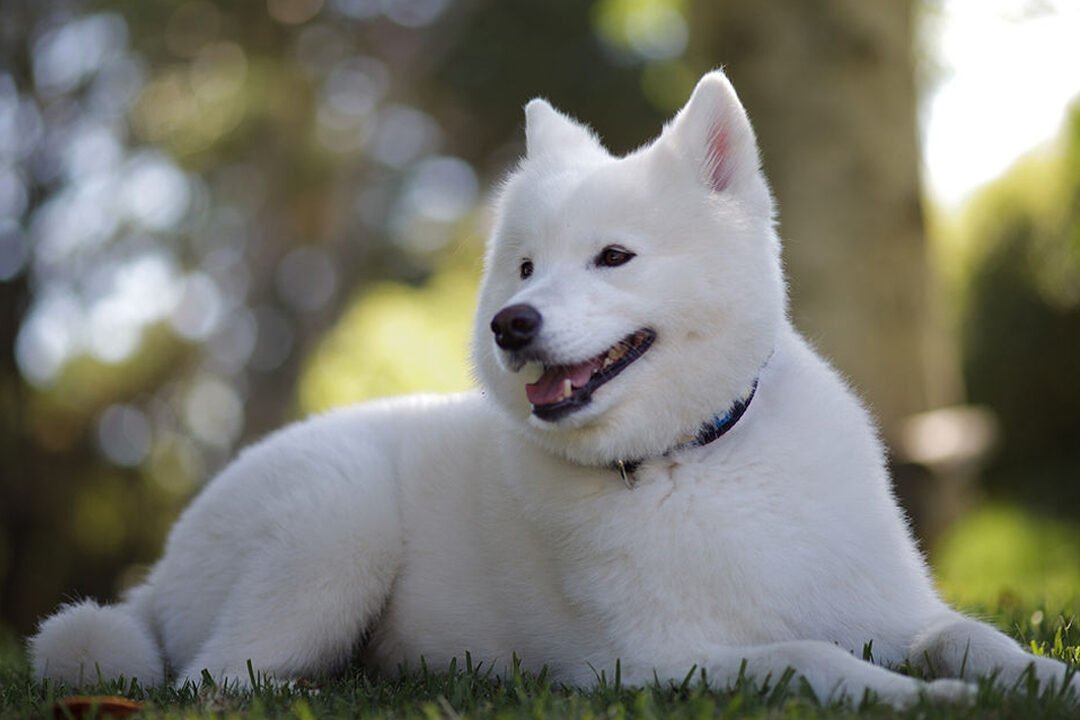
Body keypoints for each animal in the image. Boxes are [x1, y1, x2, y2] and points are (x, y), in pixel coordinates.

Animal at [29, 70, 1075, 708]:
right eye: (525, 267)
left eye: (613, 257)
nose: (511, 324)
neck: (696, 456)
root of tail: (158, 573)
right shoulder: (654, 661)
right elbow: (811, 659)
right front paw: (924, 700)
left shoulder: (898, 613)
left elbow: (976, 639)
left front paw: (1038, 681)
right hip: (335, 529)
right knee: (209, 680)